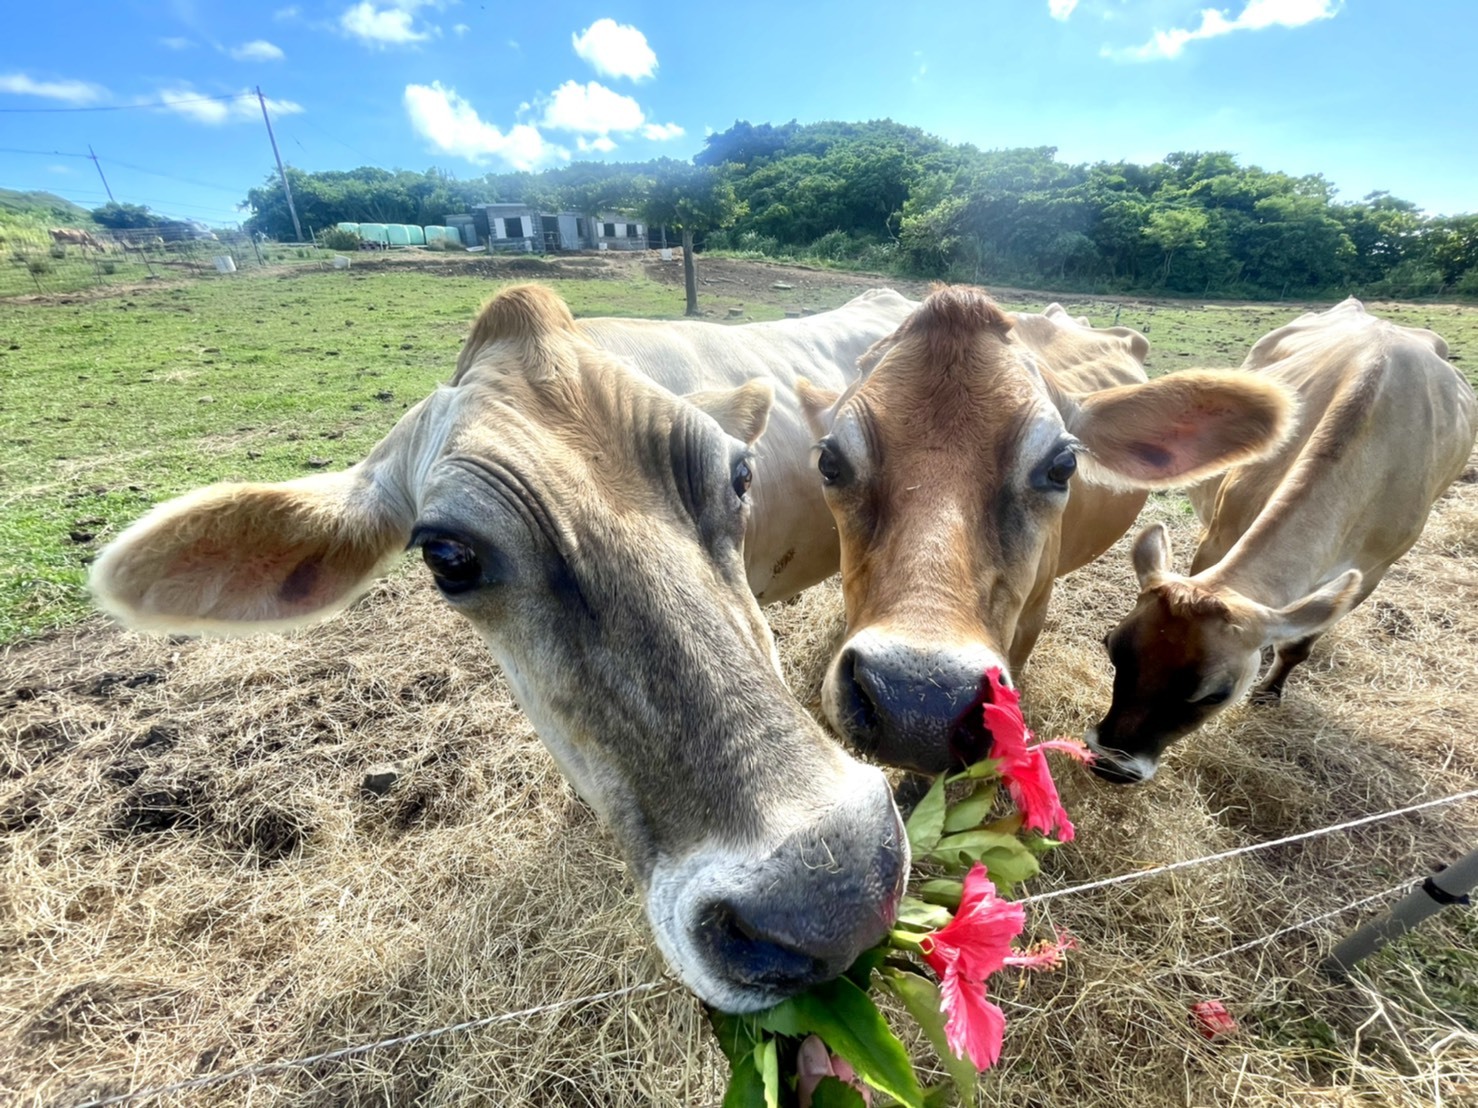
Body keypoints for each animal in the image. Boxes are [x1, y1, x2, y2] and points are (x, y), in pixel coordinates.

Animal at [1088, 298, 1478, 784]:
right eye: (1111, 645)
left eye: (1216, 694)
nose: (1111, 764)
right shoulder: (1219, 536)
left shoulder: (1372, 571)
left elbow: (1299, 643)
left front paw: (1270, 692)